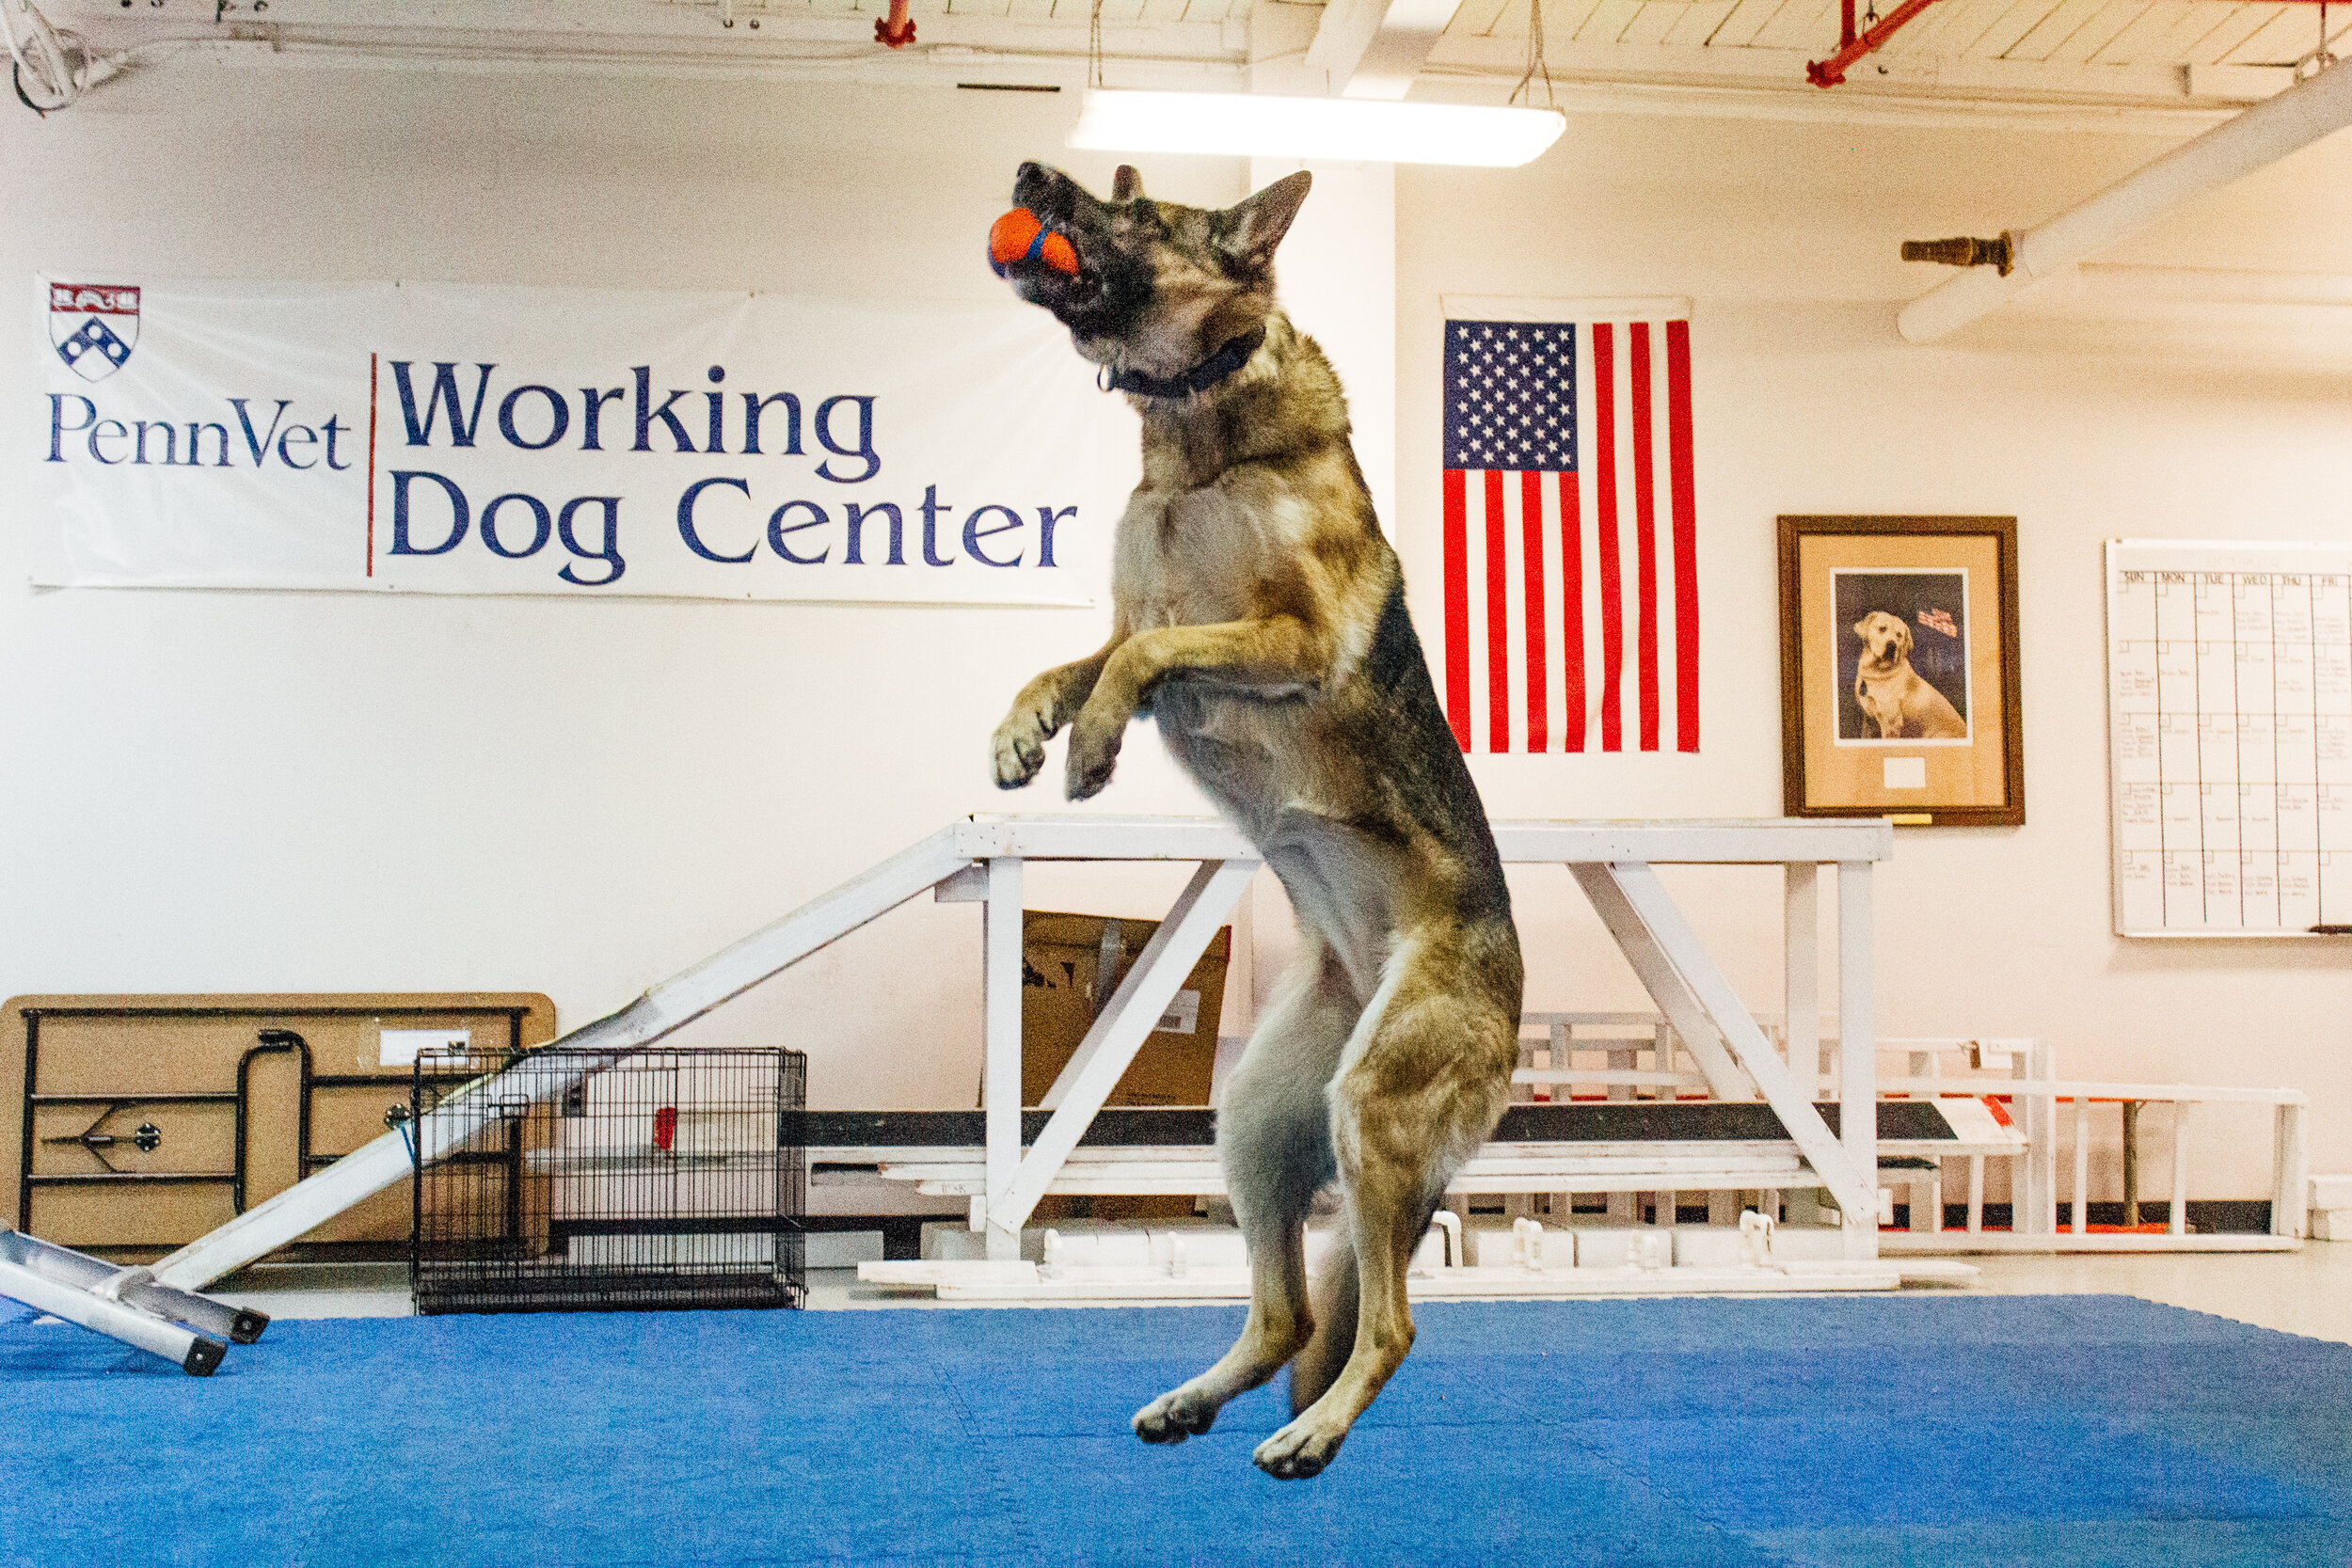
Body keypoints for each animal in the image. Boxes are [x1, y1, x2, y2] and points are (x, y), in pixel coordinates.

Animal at [988, 166, 1524, 1476]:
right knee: (1285, 1313)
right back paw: (1195, 1399)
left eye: (1134, 214)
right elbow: (1078, 657)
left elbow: (1143, 655)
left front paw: (1091, 742)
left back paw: (1313, 1435)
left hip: (1371, 1107)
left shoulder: (1290, 636)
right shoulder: (1137, 614)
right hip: (1257, 1124)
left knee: (1386, 1324)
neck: (1196, 442)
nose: (1028, 179)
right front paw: (1027, 732)